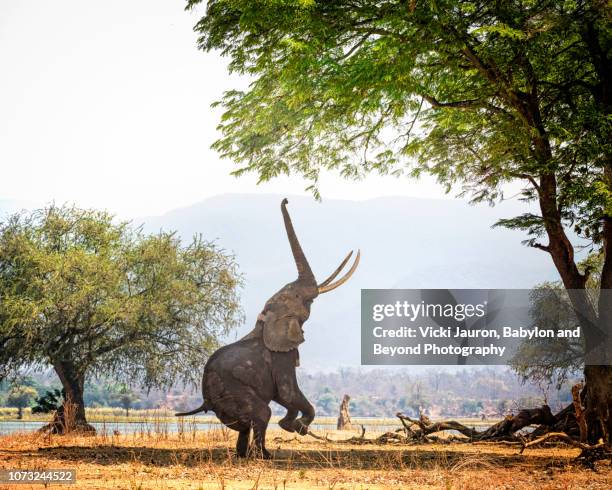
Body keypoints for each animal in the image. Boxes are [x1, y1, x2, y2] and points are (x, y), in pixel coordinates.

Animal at [176, 197, 358, 458]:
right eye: (303, 298)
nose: (286, 199)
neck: (266, 319)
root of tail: (206, 401)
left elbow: (285, 396)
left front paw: (292, 425)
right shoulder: (281, 357)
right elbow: (287, 392)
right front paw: (295, 426)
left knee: (247, 425)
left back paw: (245, 455)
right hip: (232, 392)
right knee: (262, 413)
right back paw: (263, 456)